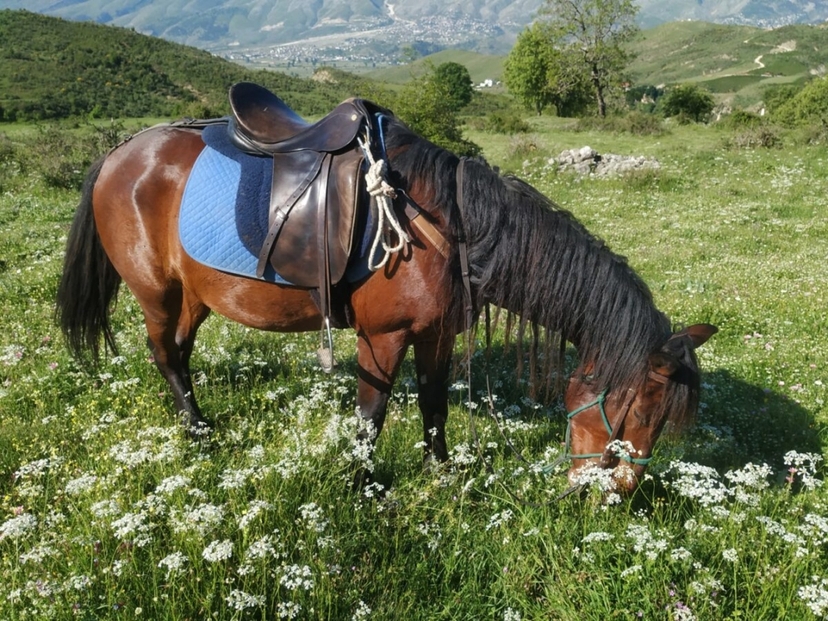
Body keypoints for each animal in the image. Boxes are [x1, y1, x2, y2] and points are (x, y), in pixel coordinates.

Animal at [56, 96, 716, 493]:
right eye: (643, 412)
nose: (615, 497)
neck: (449, 227)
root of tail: (121, 152)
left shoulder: (437, 334)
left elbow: (434, 406)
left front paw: (440, 471)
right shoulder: (384, 337)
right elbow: (371, 418)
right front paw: (363, 486)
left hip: (194, 295)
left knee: (181, 352)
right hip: (157, 291)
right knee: (167, 355)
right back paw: (197, 432)